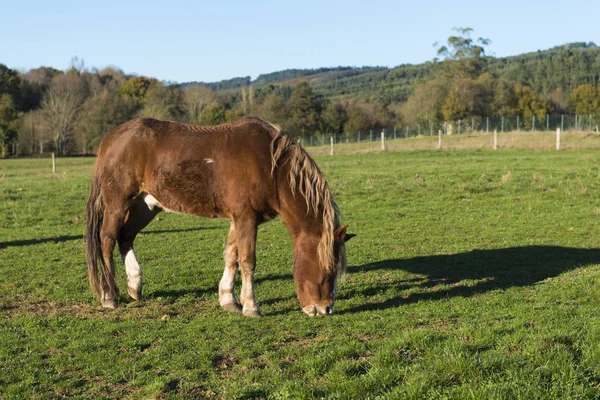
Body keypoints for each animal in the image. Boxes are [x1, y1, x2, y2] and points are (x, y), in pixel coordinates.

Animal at [86, 115, 354, 316]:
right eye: (328, 269)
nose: (325, 309)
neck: (271, 166)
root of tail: (110, 139)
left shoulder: (239, 218)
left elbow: (231, 256)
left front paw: (228, 300)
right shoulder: (246, 217)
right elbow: (247, 260)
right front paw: (251, 306)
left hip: (146, 206)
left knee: (126, 237)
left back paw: (134, 284)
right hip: (118, 202)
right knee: (107, 239)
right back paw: (109, 295)